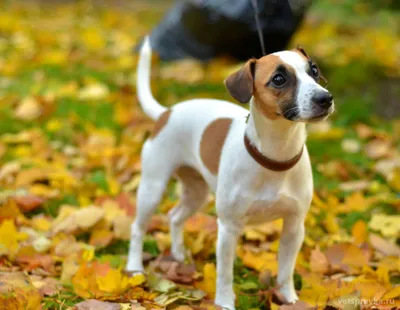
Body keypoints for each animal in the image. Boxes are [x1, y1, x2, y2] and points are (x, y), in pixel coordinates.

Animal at [126, 35, 332, 308]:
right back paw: (134, 267)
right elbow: (224, 273)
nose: (325, 98)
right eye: (278, 79)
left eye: (314, 70)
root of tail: (167, 112)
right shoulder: (228, 228)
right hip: (152, 188)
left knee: (175, 216)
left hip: (197, 193)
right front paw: (224, 302)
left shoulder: (294, 226)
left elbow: (286, 270)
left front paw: (288, 299)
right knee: (138, 228)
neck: (274, 157)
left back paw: (179, 255)